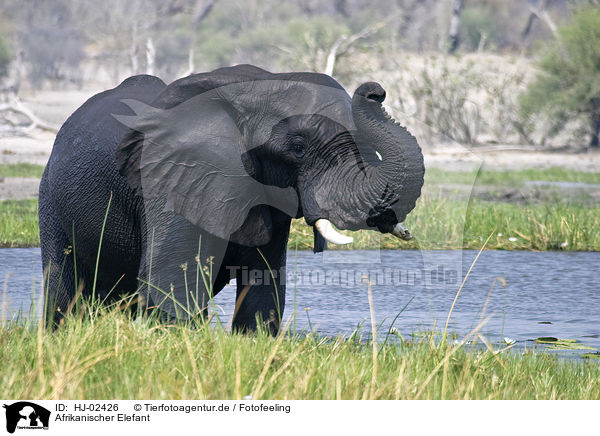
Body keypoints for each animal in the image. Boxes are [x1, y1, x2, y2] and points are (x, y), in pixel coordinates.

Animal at [38, 63, 422, 334]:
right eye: (298, 148)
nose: (375, 92)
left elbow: (264, 286)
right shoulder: (170, 176)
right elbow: (170, 278)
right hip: (50, 198)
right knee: (62, 290)